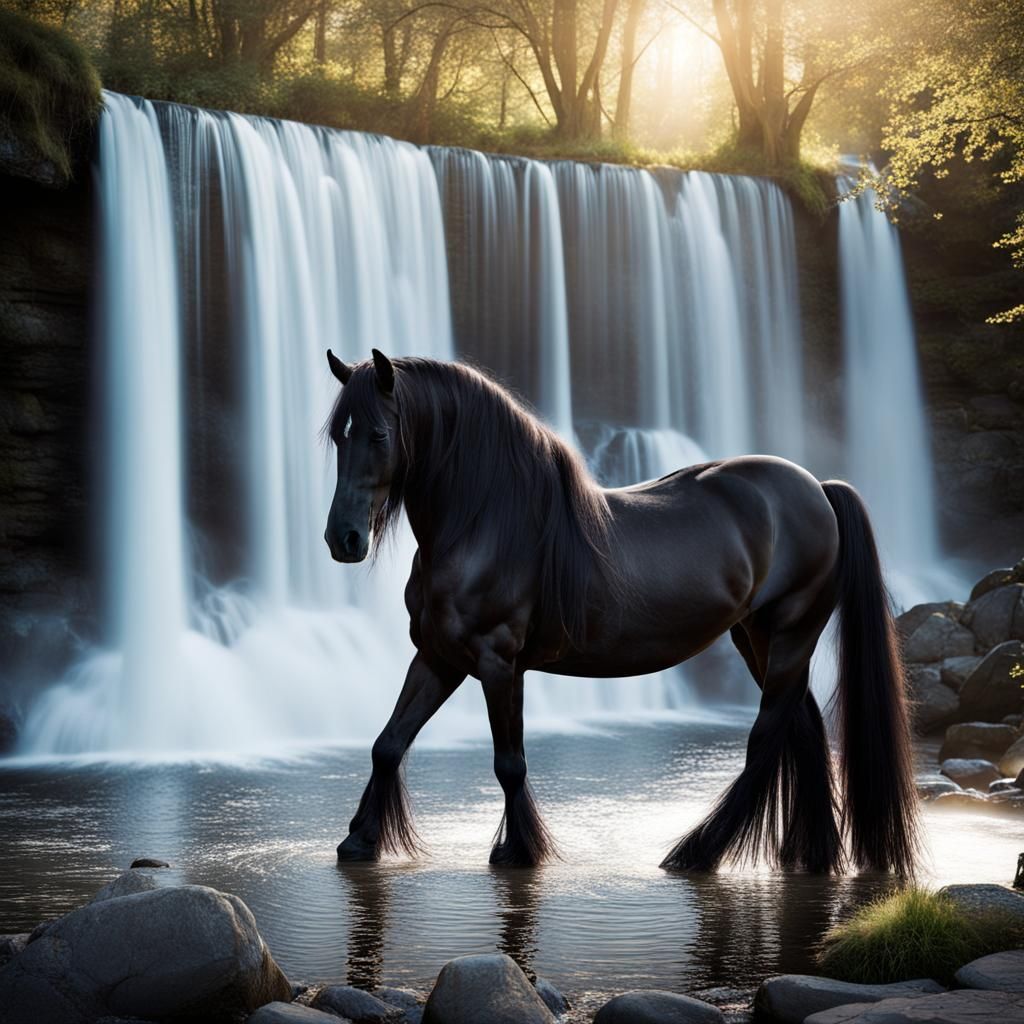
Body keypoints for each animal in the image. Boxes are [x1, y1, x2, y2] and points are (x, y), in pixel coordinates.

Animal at [322, 348, 919, 875]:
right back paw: (813, 854)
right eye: (337, 435)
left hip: (792, 632)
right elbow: (388, 743)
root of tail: (817, 487)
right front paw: (359, 840)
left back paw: (699, 852)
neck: (487, 522)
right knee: (805, 728)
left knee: (765, 739)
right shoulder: (439, 656)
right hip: (756, 637)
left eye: (378, 434)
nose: (342, 539)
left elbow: (509, 763)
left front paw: (519, 850)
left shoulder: (498, 662)